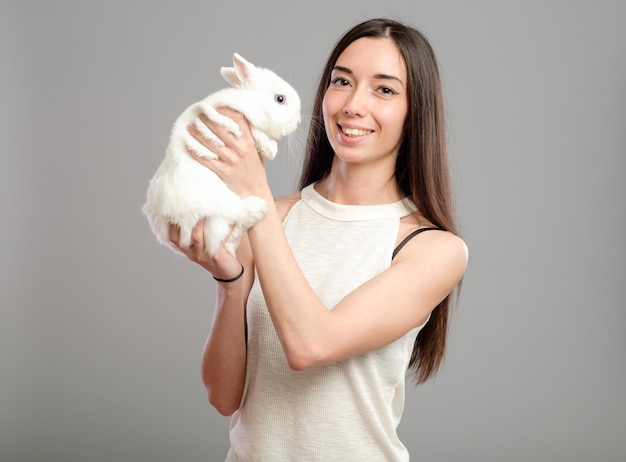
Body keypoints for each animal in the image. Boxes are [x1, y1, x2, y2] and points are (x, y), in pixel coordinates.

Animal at [143, 54, 298, 258]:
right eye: (280, 99)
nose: (299, 121)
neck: (249, 99)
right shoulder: (227, 114)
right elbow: (252, 126)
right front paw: (269, 147)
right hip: (212, 199)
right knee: (232, 214)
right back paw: (258, 208)